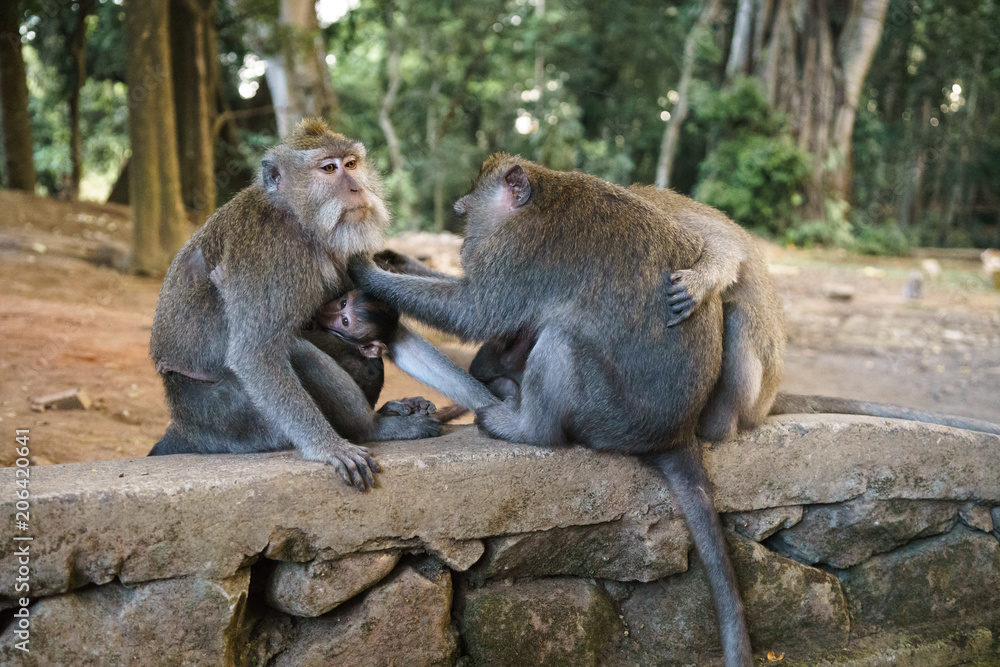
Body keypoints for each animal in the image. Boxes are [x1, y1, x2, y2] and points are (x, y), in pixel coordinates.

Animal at [149, 119, 500, 492]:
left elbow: (394, 335)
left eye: (351, 164)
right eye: (329, 169)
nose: (357, 189)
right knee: (294, 350)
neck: (299, 220)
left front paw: (493, 404)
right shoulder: (269, 250)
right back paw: (373, 428)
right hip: (229, 420)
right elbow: (254, 354)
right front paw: (328, 448)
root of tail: (185, 424)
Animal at [349, 154, 754, 666]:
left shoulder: (523, 251)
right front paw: (397, 260)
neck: (542, 192)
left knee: (560, 338)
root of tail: (677, 435)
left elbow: (476, 310)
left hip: (609, 417)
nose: (463, 238)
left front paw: (368, 271)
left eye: (469, 213)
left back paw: (524, 427)